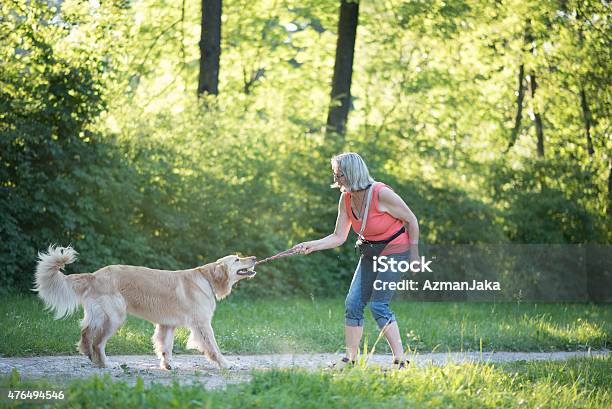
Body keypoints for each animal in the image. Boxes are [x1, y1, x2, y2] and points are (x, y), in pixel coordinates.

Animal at [34, 245, 256, 370]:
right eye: (237, 259)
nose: (254, 258)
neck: (207, 279)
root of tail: (94, 275)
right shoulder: (202, 324)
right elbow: (214, 348)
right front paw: (227, 364)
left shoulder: (167, 324)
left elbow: (165, 347)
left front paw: (168, 365)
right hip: (115, 317)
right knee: (98, 343)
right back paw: (105, 364)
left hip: (99, 315)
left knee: (86, 334)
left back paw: (90, 357)